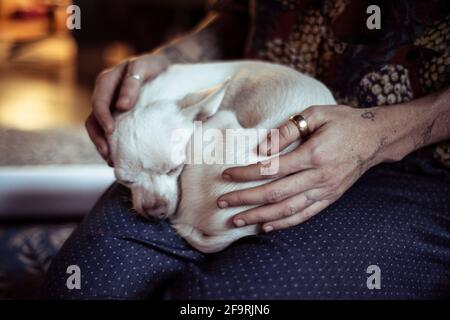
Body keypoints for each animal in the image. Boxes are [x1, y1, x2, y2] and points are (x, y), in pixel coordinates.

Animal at [108, 62, 334, 252]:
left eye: (175, 169)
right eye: (126, 181)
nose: (155, 213)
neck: (154, 97)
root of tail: (232, 233)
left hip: (221, 118)